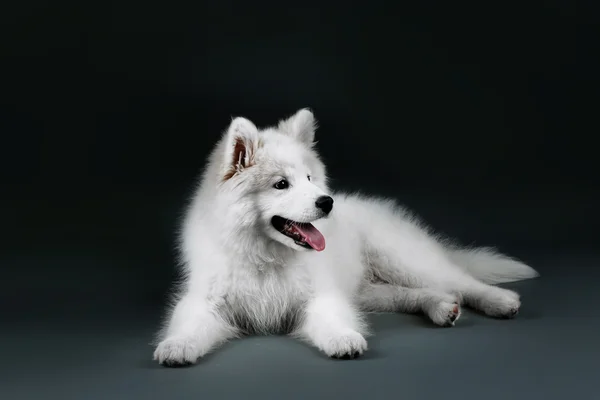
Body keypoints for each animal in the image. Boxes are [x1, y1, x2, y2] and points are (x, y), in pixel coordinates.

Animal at [151, 108, 540, 366]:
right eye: (281, 184)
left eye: (310, 178)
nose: (327, 202)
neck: (265, 258)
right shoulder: (205, 299)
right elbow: (189, 322)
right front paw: (176, 346)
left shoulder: (319, 295)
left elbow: (331, 319)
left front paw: (343, 339)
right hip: (370, 290)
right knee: (419, 293)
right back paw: (442, 307)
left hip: (402, 260)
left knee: (461, 281)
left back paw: (500, 301)